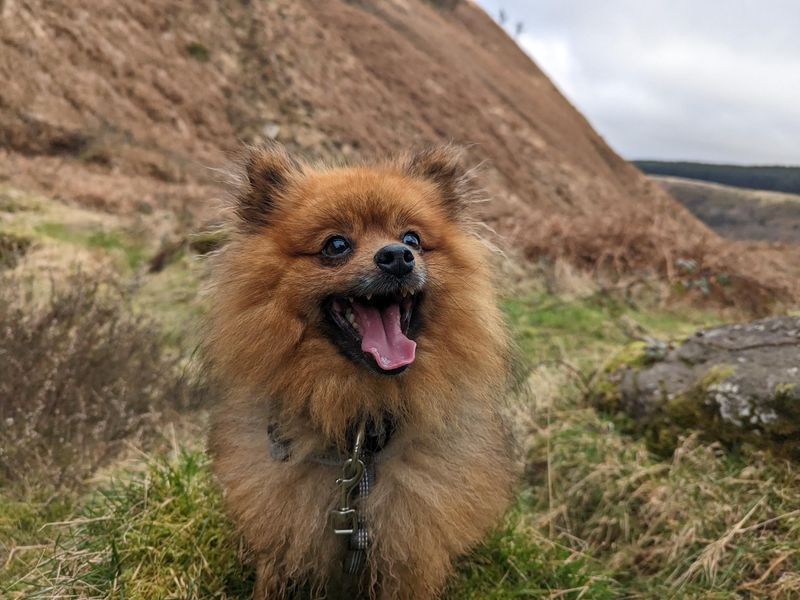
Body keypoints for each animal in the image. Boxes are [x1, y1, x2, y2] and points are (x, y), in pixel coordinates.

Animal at [206, 143, 516, 596]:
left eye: (412, 239)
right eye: (336, 245)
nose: (398, 257)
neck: (360, 437)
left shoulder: (409, 559)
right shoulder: (284, 544)